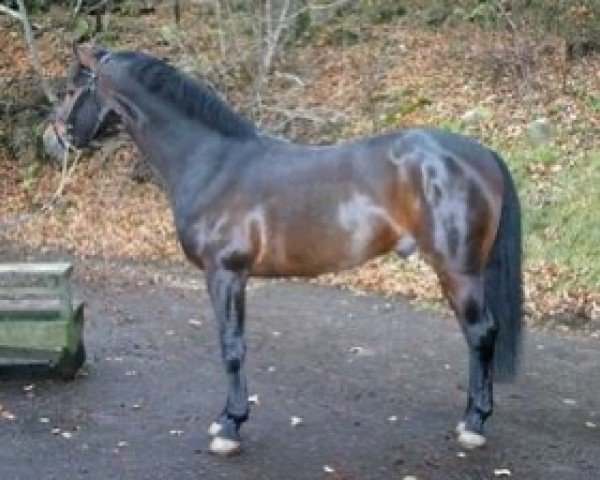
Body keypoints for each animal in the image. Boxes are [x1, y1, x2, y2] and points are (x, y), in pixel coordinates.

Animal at [47, 47, 524, 456]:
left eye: (73, 87)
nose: (54, 140)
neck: (212, 162)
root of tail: (482, 153)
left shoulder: (225, 274)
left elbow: (231, 347)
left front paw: (230, 426)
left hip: (458, 271)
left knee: (481, 333)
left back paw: (474, 425)